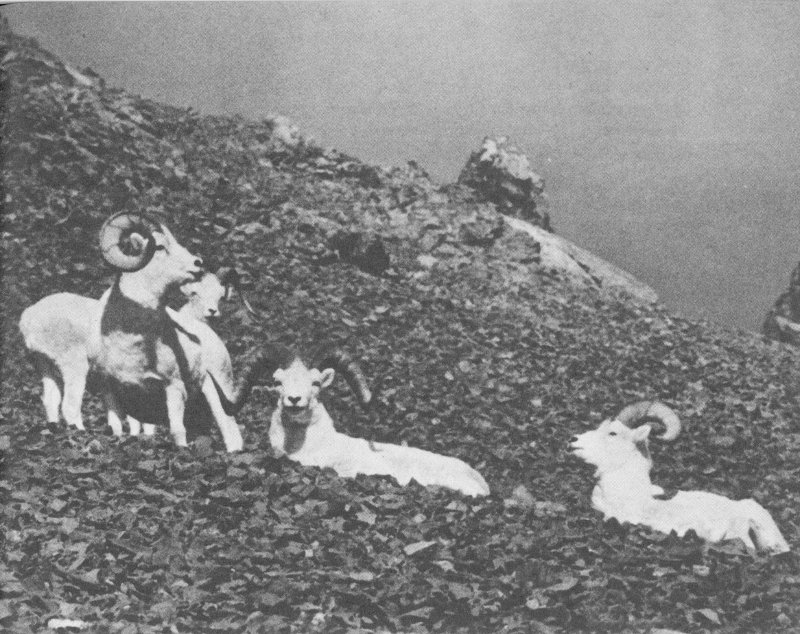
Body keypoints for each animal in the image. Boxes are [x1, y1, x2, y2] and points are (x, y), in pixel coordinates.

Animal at [18, 268, 239, 434]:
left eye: (220, 296)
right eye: (194, 293)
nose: (212, 312)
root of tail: (29, 318)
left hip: (45, 365)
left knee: (51, 400)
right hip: (73, 366)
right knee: (70, 405)